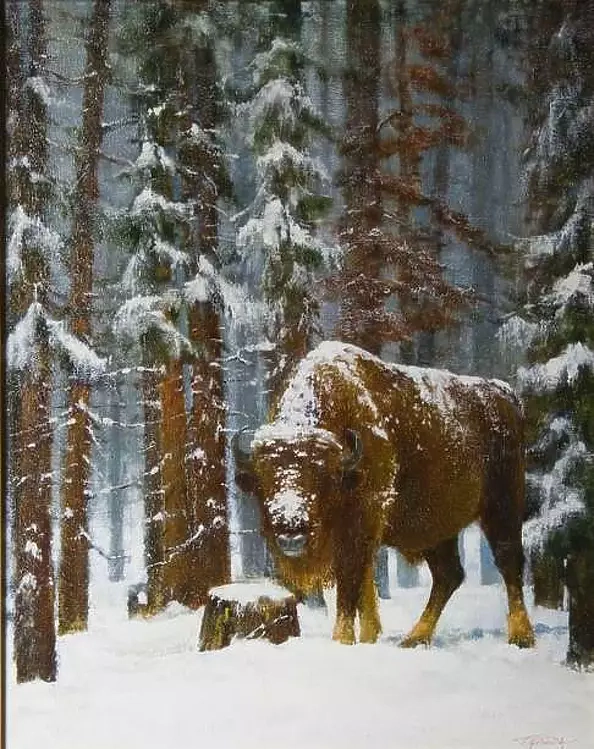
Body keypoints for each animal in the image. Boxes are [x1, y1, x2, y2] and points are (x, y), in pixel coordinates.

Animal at [235, 341, 535, 648]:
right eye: (264, 478)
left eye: (321, 477)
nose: (291, 531)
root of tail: (505, 394)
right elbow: (365, 588)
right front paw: (370, 637)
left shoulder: (359, 527)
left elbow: (350, 587)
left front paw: (343, 641)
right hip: (437, 528)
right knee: (449, 575)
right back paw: (415, 638)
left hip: (502, 507)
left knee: (509, 562)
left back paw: (521, 636)